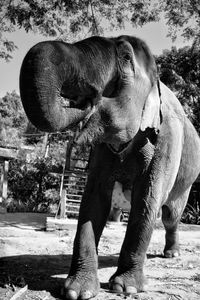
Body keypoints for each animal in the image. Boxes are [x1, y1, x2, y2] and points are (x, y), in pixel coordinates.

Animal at [19, 34, 200, 298]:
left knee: (170, 216)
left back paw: (172, 254)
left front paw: (126, 288)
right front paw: (77, 291)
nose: (89, 99)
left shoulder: (166, 140)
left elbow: (146, 201)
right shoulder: (100, 150)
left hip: (185, 183)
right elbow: (93, 201)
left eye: (125, 57)